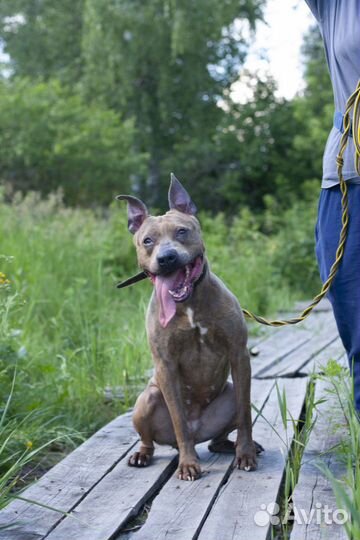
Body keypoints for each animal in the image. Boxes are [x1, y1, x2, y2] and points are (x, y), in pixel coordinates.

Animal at [118, 174, 258, 480]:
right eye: (147, 240)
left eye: (182, 231)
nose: (167, 258)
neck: (189, 305)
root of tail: (199, 431)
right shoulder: (166, 366)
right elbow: (179, 420)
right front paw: (188, 464)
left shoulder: (239, 355)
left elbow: (245, 415)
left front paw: (246, 453)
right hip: (147, 398)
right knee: (153, 438)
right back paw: (143, 455)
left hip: (229, 393)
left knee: (220, 435)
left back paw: (234, 446)